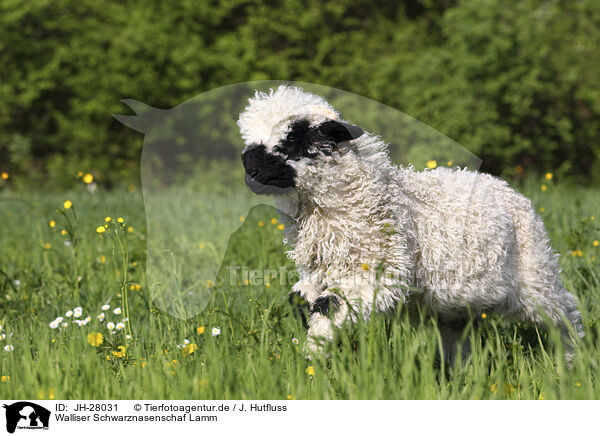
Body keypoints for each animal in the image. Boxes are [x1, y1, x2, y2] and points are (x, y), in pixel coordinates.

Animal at [237, 84, 584, 362]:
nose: (248, 167)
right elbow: (300, 298)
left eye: (292, 140)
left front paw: (314, 354)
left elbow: (330, 305)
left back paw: (571, 363)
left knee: (565, 315)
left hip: (536, 274)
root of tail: (505, 187)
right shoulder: (317, 271)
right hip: (457, 304)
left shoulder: (381, 270)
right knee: (460, 336)